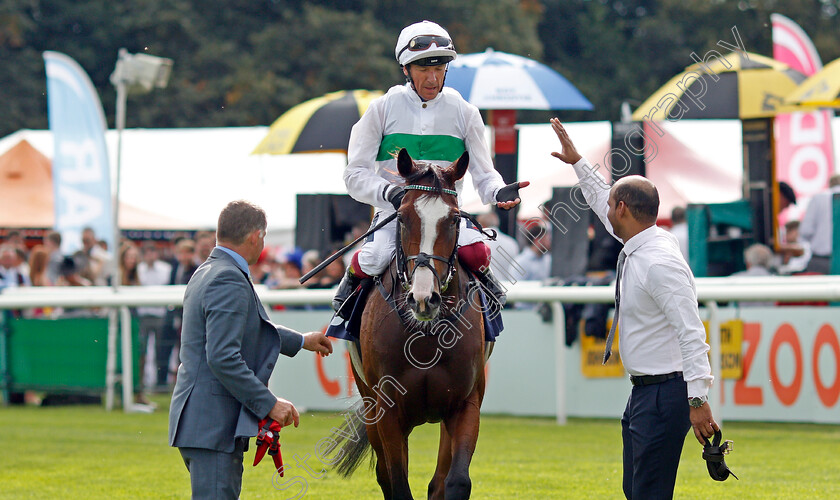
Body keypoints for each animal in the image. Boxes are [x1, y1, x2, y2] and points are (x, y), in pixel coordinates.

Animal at [332, 148, 488, 500]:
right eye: (402, 217)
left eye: (454, 218)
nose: (423, 298)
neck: (426, 335)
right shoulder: (387, 410)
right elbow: (397, 483)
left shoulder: (465, 403)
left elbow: (455, 481)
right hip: (370, 404)